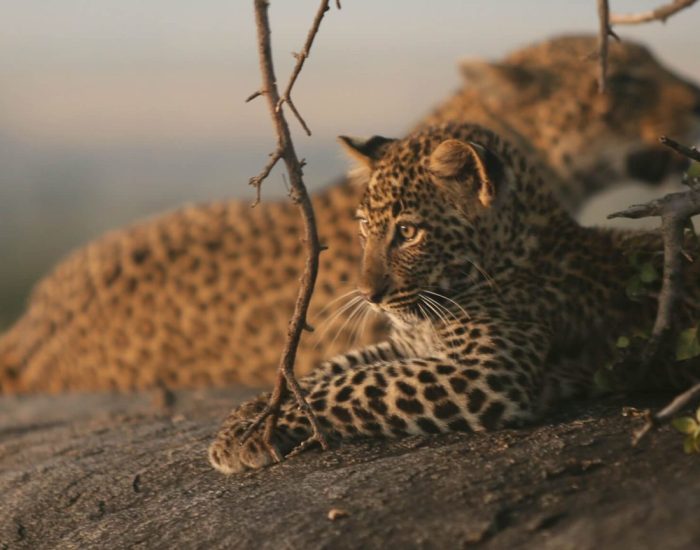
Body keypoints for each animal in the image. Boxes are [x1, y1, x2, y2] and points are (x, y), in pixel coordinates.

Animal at [208, 122, 700, 474]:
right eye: (365, 226)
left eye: (408, 232)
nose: (369, 296)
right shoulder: (409, 345)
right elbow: (335, 368)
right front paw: (249, 414)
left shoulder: (485, 370)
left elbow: (356, 384)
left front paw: (253, 433)